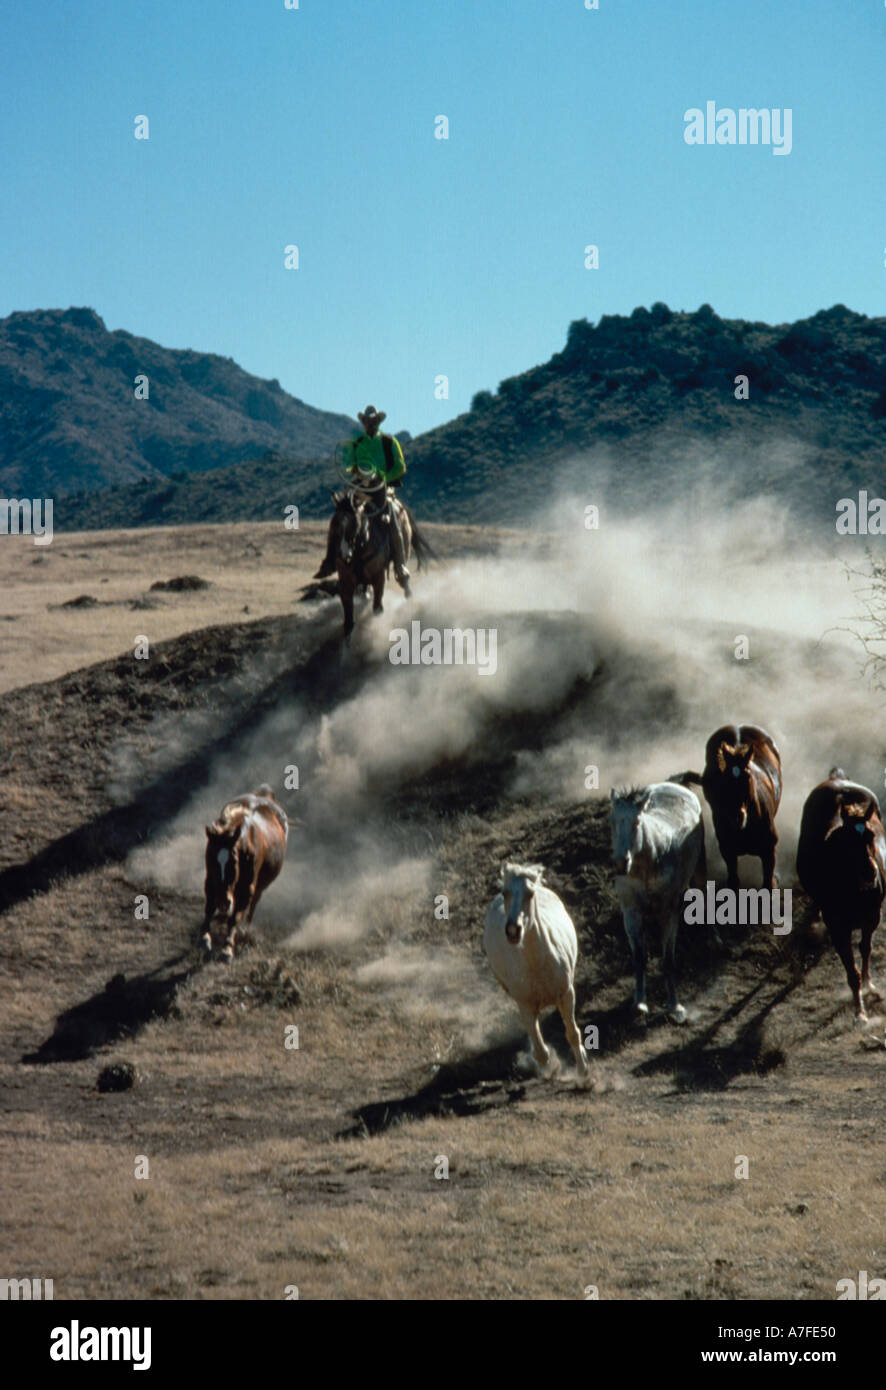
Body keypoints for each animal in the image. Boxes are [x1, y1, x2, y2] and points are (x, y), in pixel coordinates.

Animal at [484, 861, 586, 1078]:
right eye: (506, 893)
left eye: (530, 894)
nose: (513, 931)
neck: (537, 965)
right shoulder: (524, 1004)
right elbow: (541, 1052)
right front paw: (550, 1068)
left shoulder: (567, 994)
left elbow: (572, 1034)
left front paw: (584, 1072)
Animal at [609, 783, 703, 1023]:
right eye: (613, 822)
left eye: (636, 822)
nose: (620, 863)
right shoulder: (631, 912)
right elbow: (639, 957)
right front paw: (640, 1004)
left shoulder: (669, 913)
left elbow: (668, 959)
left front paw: (675, 1008)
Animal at [795, 772, 884, 1023]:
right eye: (848, 840)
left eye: (871, 835)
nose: (870, 872)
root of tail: (837, 780)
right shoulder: (838, 930)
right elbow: (852, 971)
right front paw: (860, 1012)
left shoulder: (872, 919)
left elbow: (865, 949)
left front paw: (869, 986)